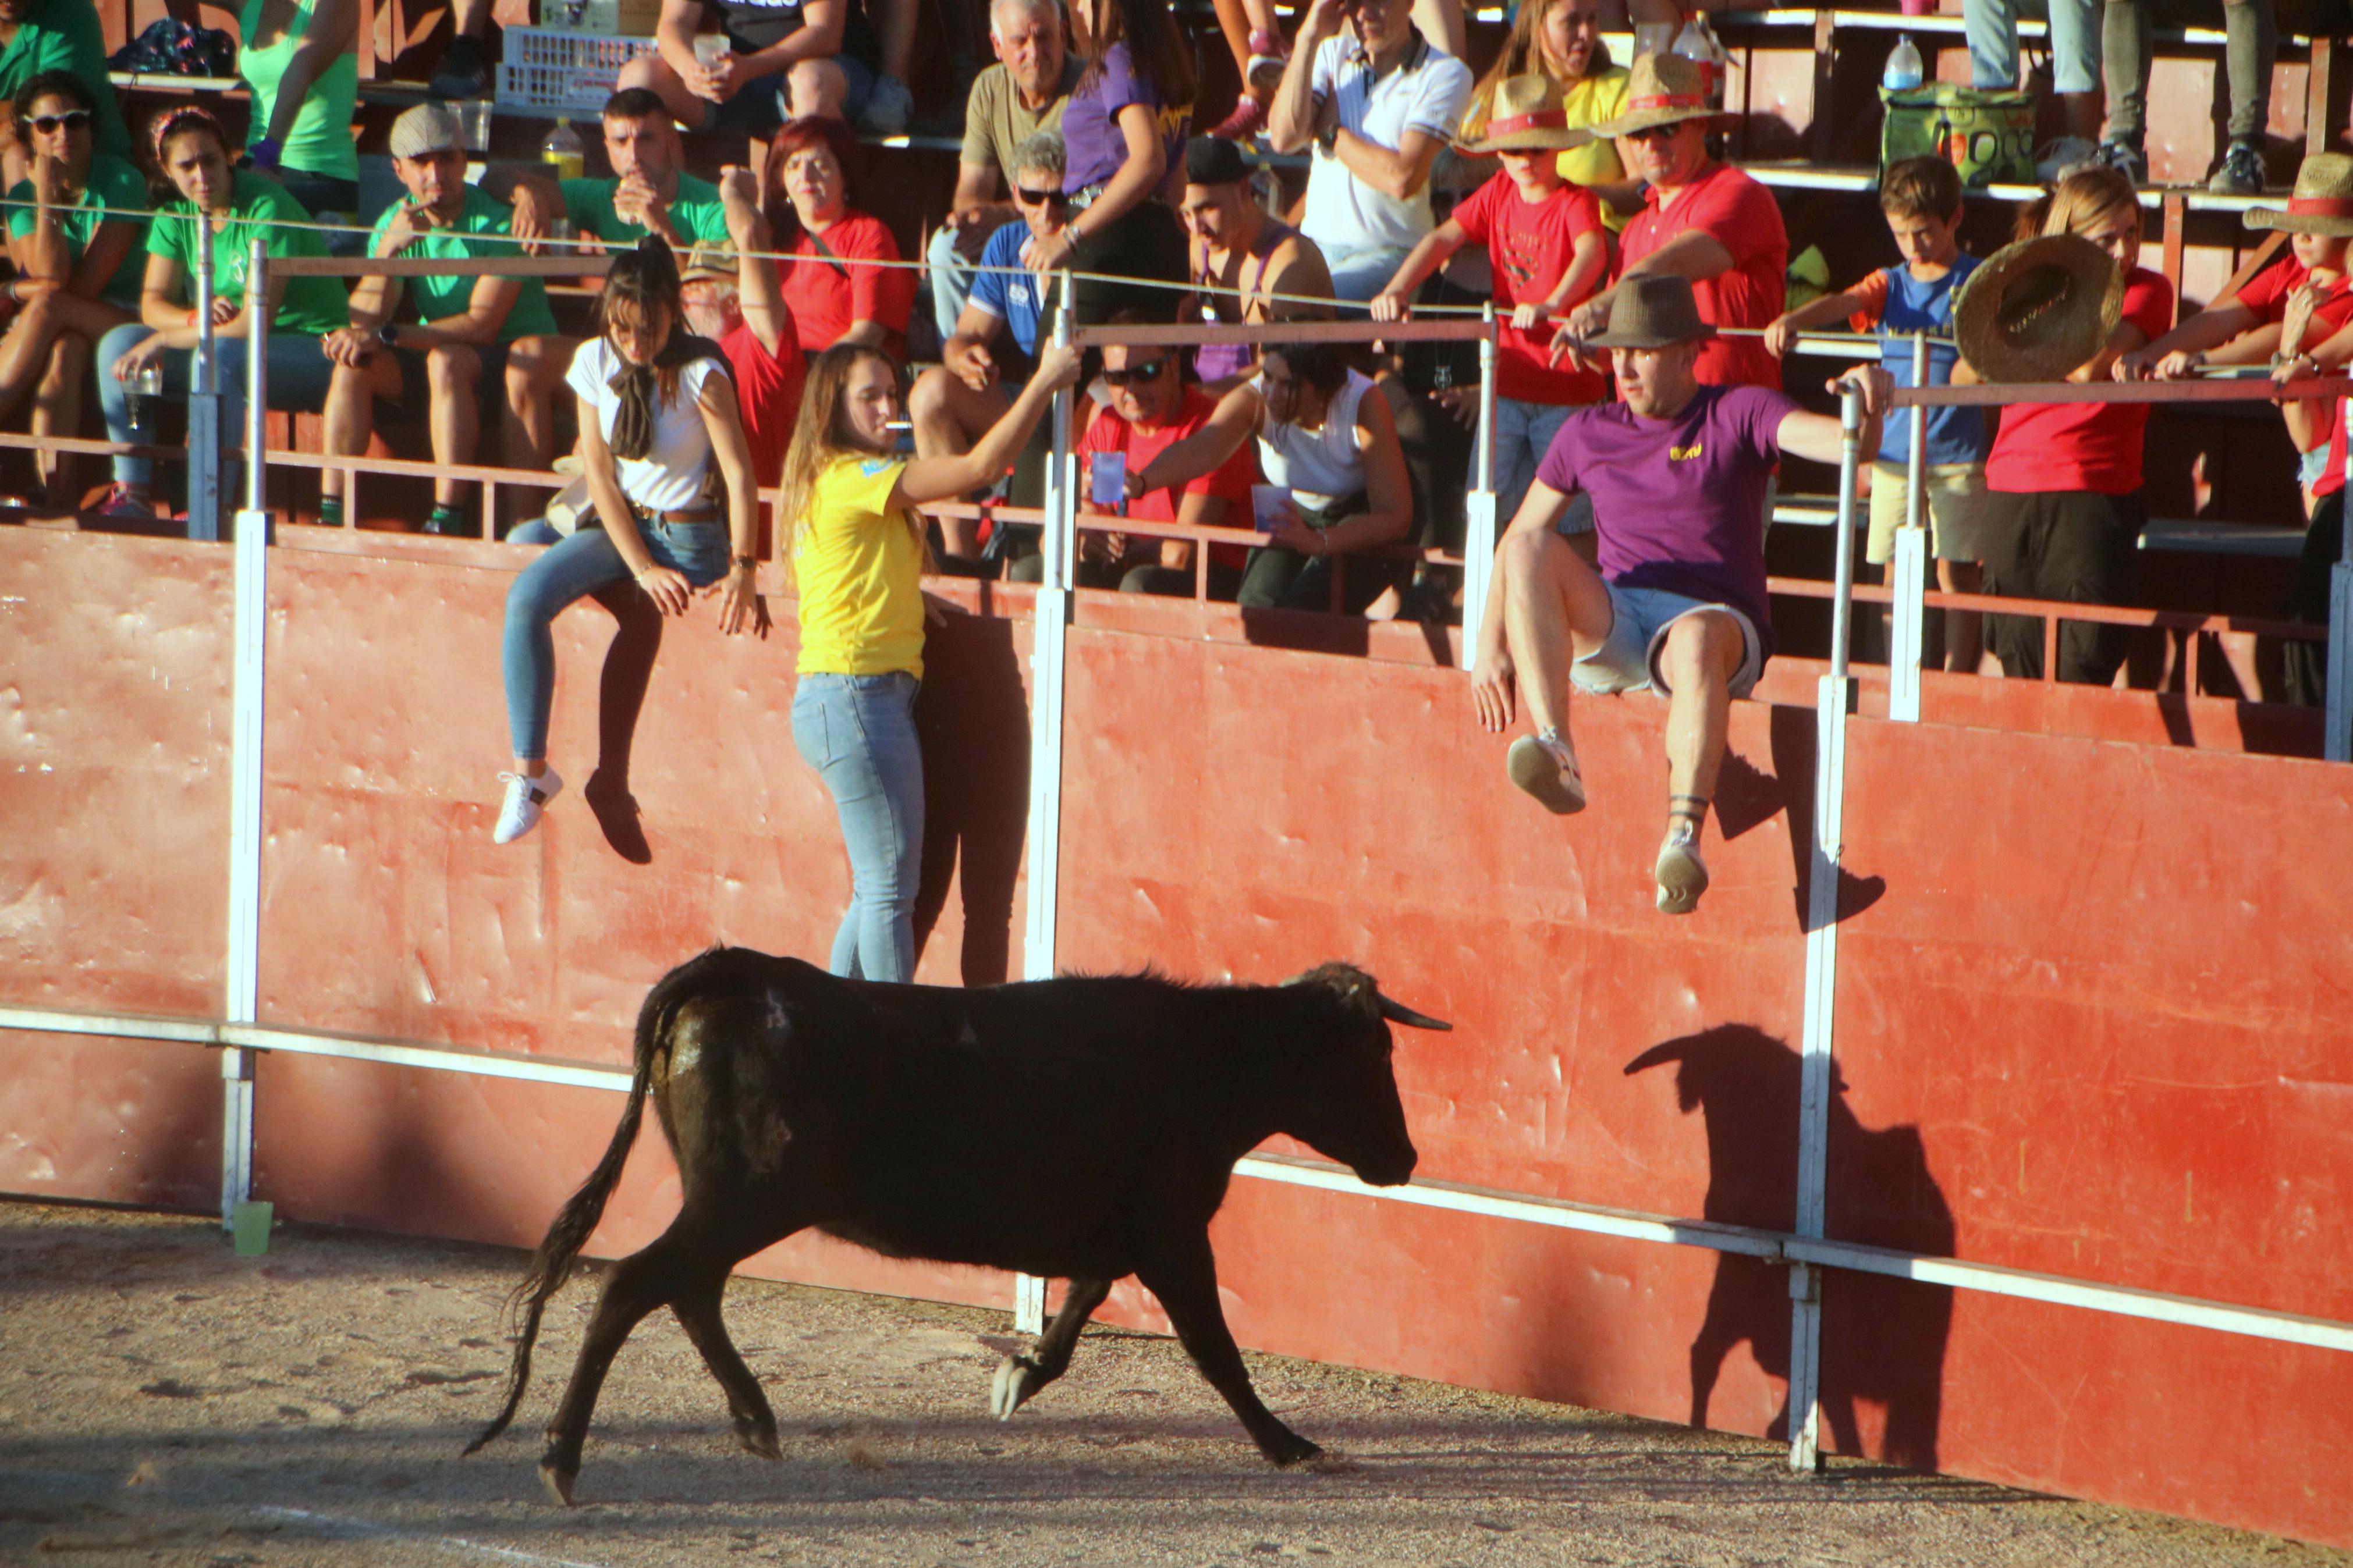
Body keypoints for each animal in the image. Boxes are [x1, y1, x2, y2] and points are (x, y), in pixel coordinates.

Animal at [466, 950, 1440, 1504]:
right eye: (1376, 1050)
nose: (1404, 1156)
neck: (1208, 1060)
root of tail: (737, 973)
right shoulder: (1172, 1231)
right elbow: (1214, 1345)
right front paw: (1290, 1444)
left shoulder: (1119, 1230)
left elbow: (1080, 1303)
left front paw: (1019, 1374)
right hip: (746, 1196)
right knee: (637, 1280)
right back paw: (562, 1456)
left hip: (735, 1202)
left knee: (687, 1288)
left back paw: (754, 1421)